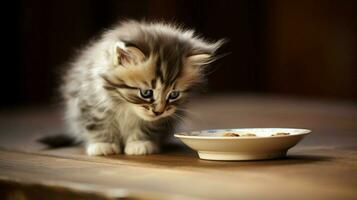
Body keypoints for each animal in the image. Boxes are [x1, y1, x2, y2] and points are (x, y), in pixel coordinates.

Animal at [58, 20, 221, 155]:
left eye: (174, 95)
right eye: (146, 93)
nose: (158, 112)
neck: (126, 107)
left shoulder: (158, 121)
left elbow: (146, 128)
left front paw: (139, 144)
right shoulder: (91, 103)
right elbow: (98, 125)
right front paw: (103, 145)